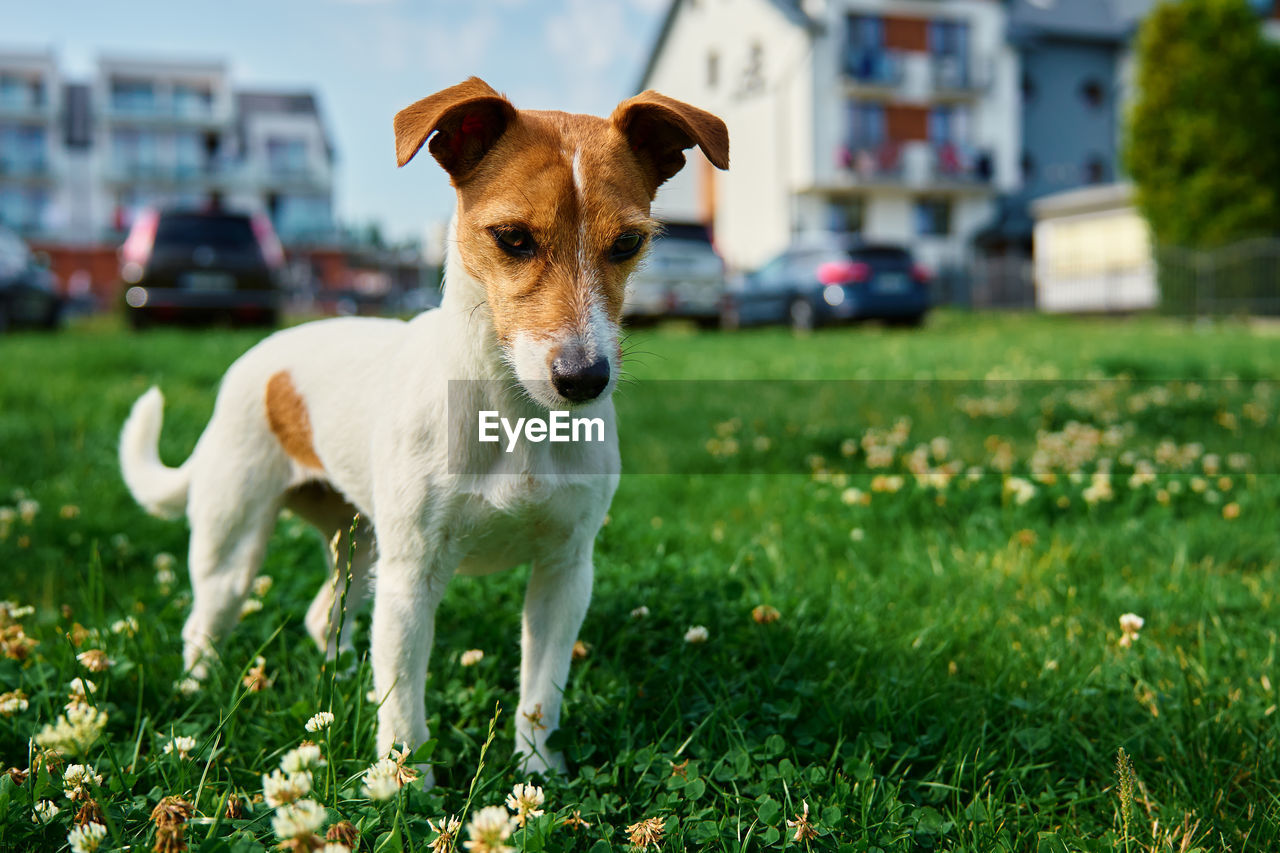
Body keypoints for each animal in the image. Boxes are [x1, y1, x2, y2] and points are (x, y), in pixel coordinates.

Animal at [120, 78, 732, 778]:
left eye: (628, 243)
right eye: (513, 238)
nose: (584, 379)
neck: (511, 416)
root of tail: (261, 356)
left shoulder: (565, 573)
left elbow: (539, 694)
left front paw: (538, 772)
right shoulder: (412, 578)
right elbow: (405, 709)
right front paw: (405, 782)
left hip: (361, 548)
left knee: (324, 616)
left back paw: (341, 682)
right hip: (237, 546)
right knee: (205, 623)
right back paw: (196, 696)